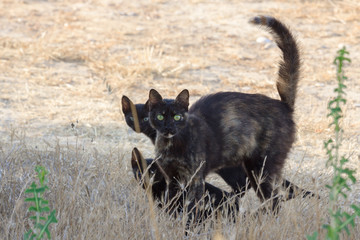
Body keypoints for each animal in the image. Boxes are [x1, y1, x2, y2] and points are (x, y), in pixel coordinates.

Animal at [148, 15, 306, 220]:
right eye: (160, 116)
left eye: (177, 117)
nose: (168, 128)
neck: (172, 146)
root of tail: (282, 105)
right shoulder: (172, 179)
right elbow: (172, 204)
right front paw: (170, 222)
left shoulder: (196, 179)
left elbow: (191, 208)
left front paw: (189, 224)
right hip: (254, 170)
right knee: (272, 201)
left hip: (262, 170)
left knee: (274, 202)